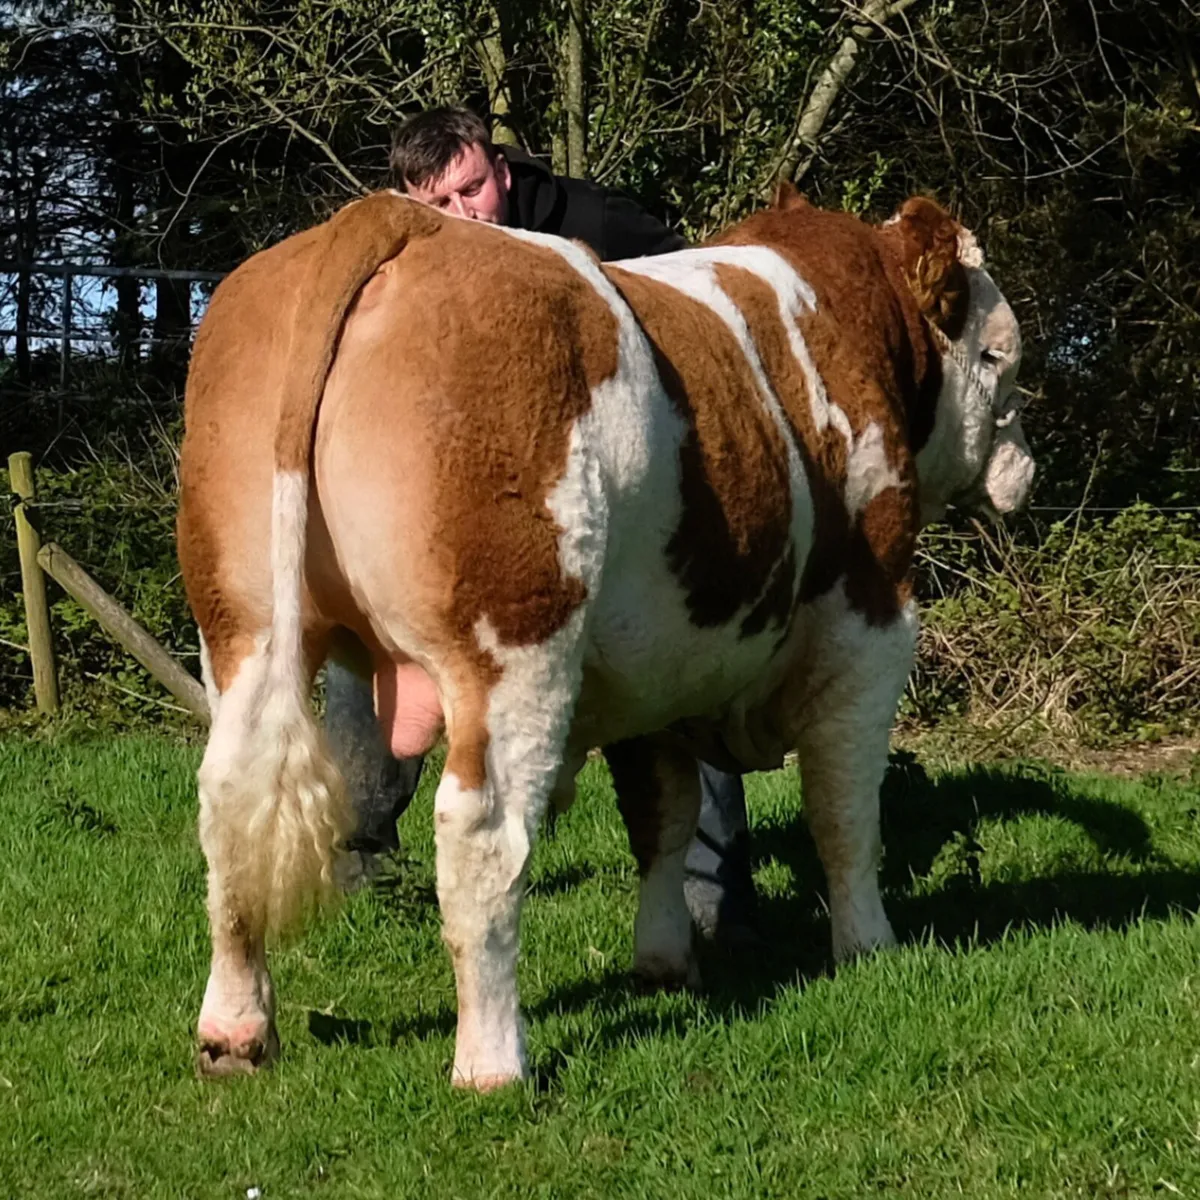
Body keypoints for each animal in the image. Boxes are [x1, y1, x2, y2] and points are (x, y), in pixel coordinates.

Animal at [177, 184, 1033, 1090]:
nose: (1023, 467)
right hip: (512, 641)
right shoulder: (867, 625)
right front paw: (869, 946)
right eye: (996, 357)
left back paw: (235, 1031)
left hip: (244, 630)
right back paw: (492, 1061)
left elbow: (663, 813)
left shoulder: (656, 658)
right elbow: (843, 808)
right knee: (482, 833)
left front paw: (663, 961)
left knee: (229, 804)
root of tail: (399, 219)